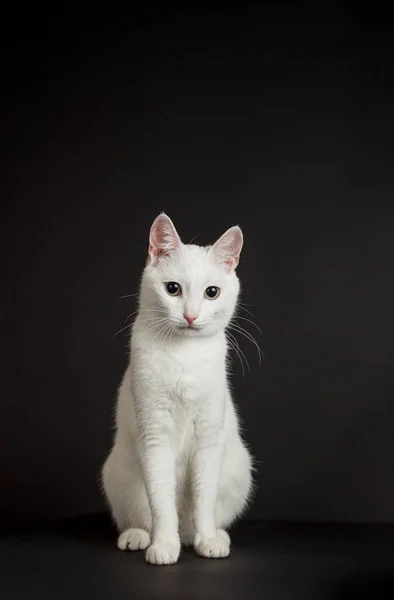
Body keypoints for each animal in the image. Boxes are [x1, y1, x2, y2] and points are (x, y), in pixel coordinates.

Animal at [101, 213, 254, 564]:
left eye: (212, 292)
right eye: (173, 289)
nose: (191, 315)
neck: (185, 355)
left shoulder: (209, 437)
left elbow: (203, 498)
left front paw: (208, 540)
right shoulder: (154, 435)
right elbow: (161, 502)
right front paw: (164, 546)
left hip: (239, 470)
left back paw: (214, 536)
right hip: (118, 474)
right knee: (139, 517)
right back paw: (139, 537)